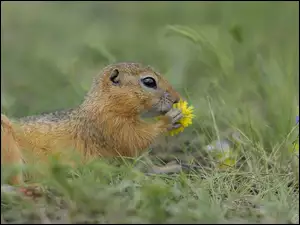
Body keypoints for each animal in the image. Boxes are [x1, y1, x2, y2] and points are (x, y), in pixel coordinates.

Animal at [1, 62, 183, 186]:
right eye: (149, 82)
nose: (177, 99)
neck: (103, 104)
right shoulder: (110, 125)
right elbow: (135, 138)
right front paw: (169, 120)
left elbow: (144, 162)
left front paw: (168, 167)